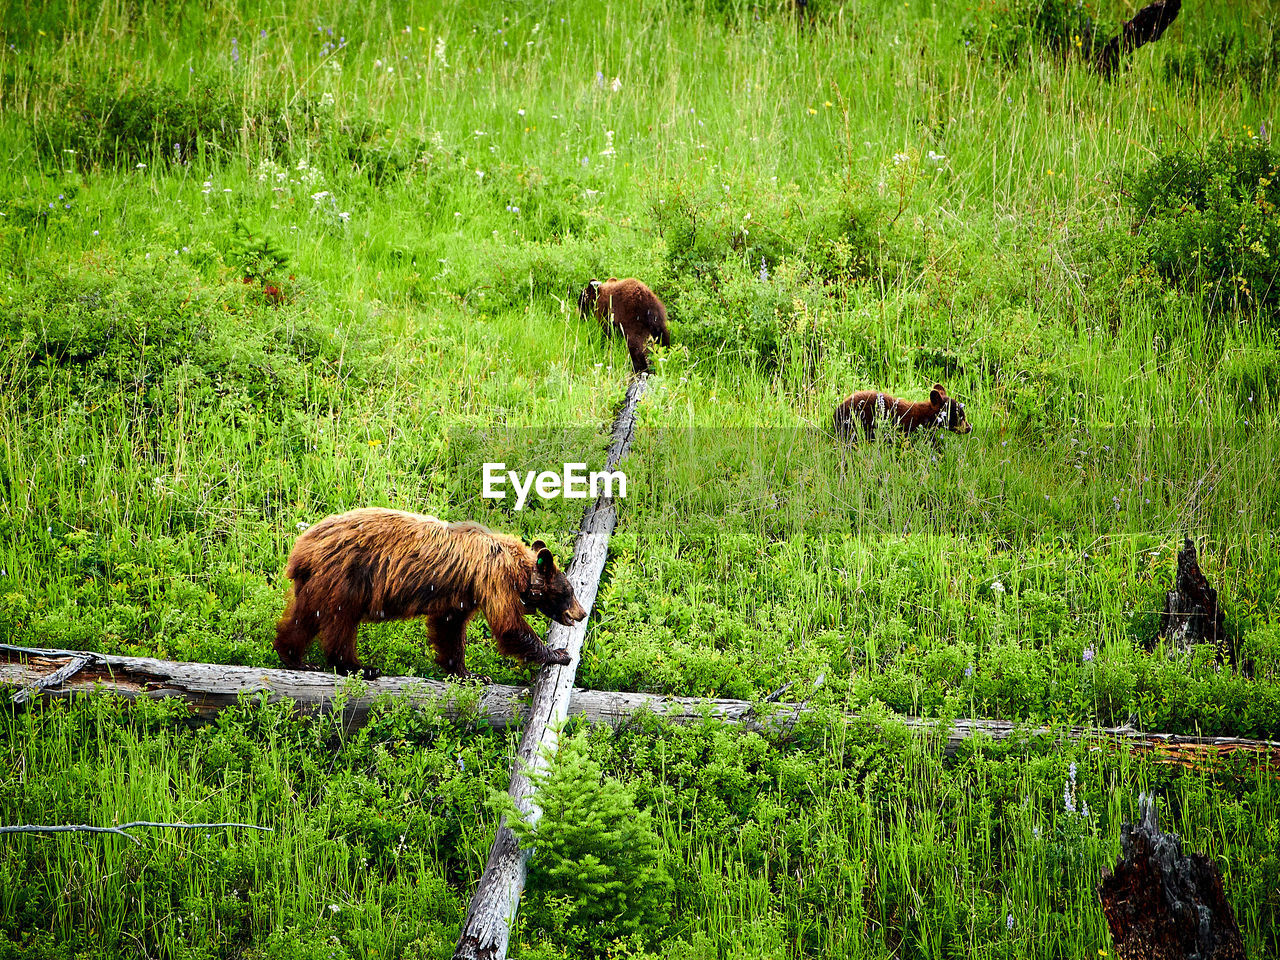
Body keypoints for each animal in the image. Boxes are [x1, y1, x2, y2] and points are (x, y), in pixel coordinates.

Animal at [277, 506, 586, 680]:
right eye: (569, 590)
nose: (582, 613)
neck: (516, 568)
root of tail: (302, 548)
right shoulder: (493, 580)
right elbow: (509, 626)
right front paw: (558, 653)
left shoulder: (463, 593)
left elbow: (449, 628)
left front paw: (467, 673)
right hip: (347, 577)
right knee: (340, 623)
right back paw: (359, 667)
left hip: (318, 582)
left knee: (303, 618)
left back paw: (296, 658)